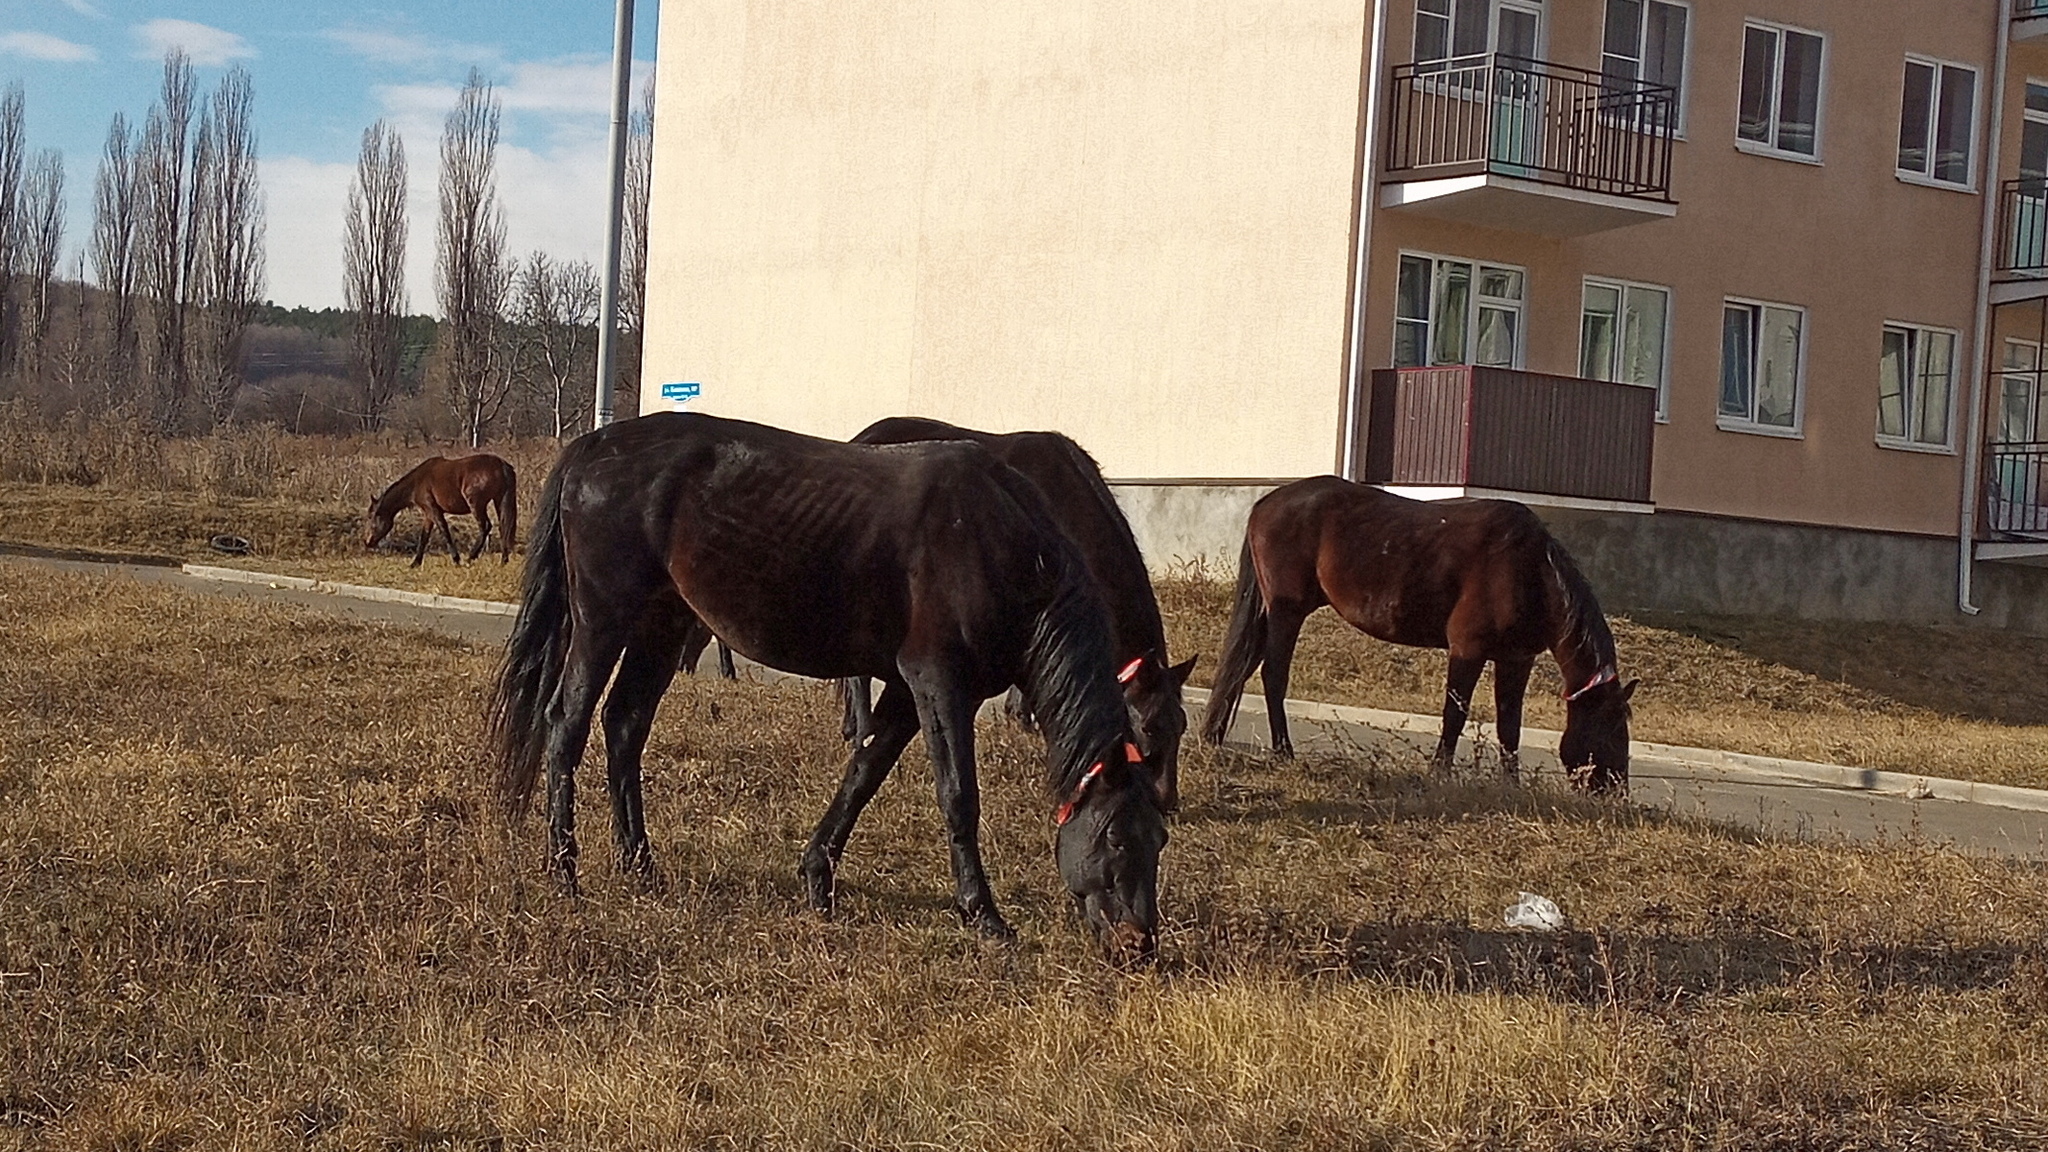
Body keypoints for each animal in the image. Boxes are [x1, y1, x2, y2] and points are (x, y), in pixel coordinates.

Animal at [366, 453, 520, 569]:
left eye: (372, 517)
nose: (367, 542)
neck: (417, 482)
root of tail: (501, 465)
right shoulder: (428, 514)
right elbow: (424, 536)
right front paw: (415, 563)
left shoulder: (433, 509)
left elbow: (444, 531)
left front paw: (456, 559)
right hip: (499, 501)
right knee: (503, 528)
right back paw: (503, 560)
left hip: (477, 505)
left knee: (485, 526)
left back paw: (471, 557)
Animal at [839, 414, 1196, 807]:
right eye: (1147, 727)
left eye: (1181, 725)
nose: (1167, 800)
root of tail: (863, 436)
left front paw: (1020, 717)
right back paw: (861, 728)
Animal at [1196, 473, 1630, 787]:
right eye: (1611, 728)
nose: (1616, 789)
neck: (1532, 571)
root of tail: (1266, 502)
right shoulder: (1467, 650)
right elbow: (1455, 713)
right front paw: (1440, 772)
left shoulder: (1516, 659)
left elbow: (1510, 724)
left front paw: (1512, 784)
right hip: (1287, 611)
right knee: (1273, 674)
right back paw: (1283, 750)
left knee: (1243, 667)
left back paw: (1215, 736)